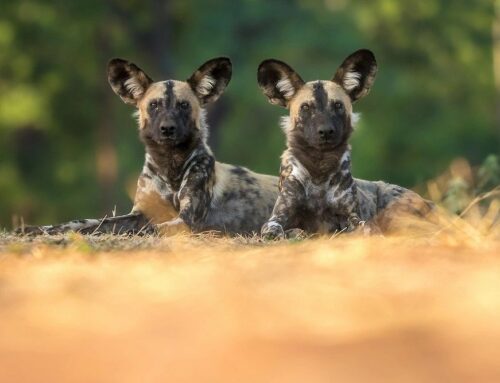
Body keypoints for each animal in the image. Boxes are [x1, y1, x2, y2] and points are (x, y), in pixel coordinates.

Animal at [16, 58, 278, 236]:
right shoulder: (139, 212)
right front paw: (40, 230)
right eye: (154, 105)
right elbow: (88, 223)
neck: (169, 165)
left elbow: (148, 229)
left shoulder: (187, 219)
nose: (167, 128)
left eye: (183, 105)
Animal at [258, 49, 434, 238]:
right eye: (305, 107)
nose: (326, 131)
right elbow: (275, 229)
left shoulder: (350, 216)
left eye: (338, 105)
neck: (320, 167)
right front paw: (293, 233)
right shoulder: (278, 216)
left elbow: (364, 225)